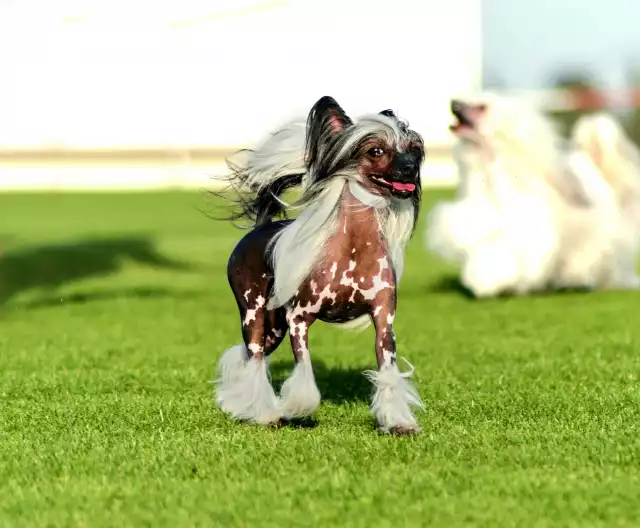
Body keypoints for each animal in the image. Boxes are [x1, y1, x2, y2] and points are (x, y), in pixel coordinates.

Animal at [214, 96, 424, 434]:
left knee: (248, 359)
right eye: (376, 150)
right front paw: (296, 408)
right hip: (254, 314)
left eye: (414, 149)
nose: (410, 168)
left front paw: (398, 423)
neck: (353, 249)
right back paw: (266, 415)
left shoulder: (383, 321)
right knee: (254, 358)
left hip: (275, 325)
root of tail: (260, 228)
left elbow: (388, 373)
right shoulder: (299, 319)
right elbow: (304, 372)